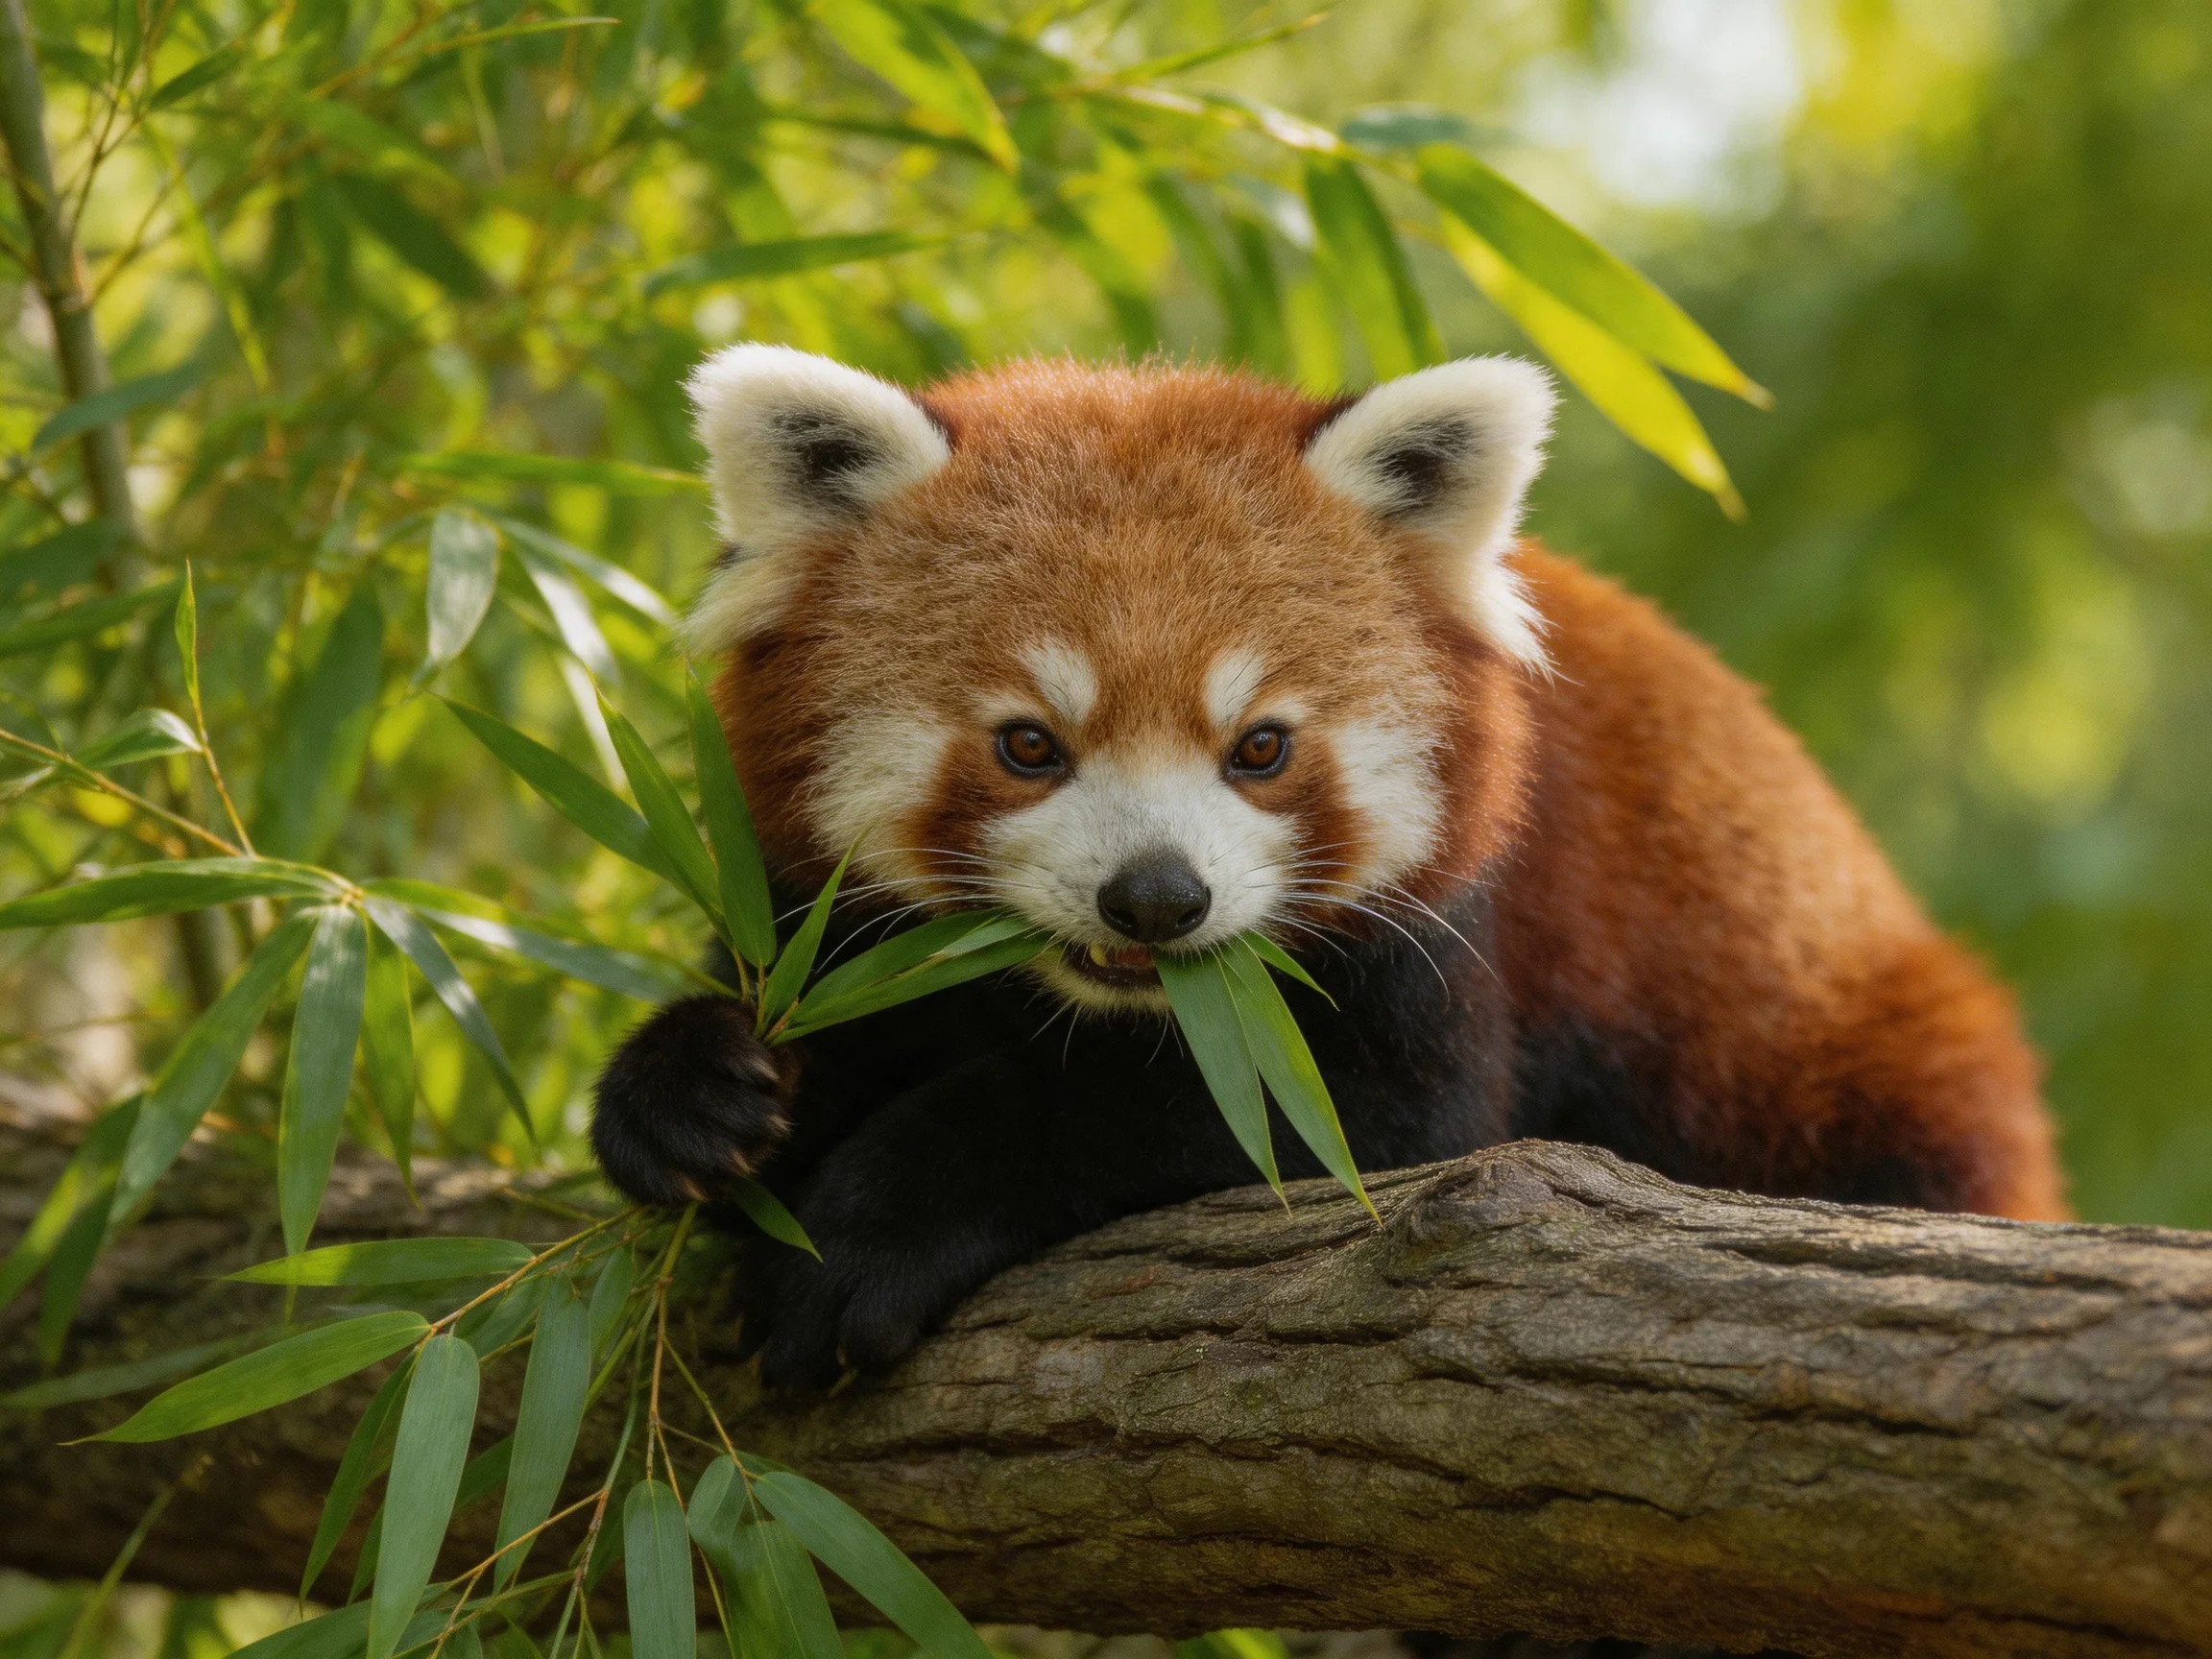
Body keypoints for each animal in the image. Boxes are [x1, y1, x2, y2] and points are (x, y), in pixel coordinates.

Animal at [590, 345, 2065, 1391]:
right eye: (1027, 744)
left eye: (1260, 747)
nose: (1158, 897)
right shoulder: (819, 929)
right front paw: (692, 1090)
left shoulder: (1446, 952)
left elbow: (1331, 1128)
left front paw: (881, 1222)